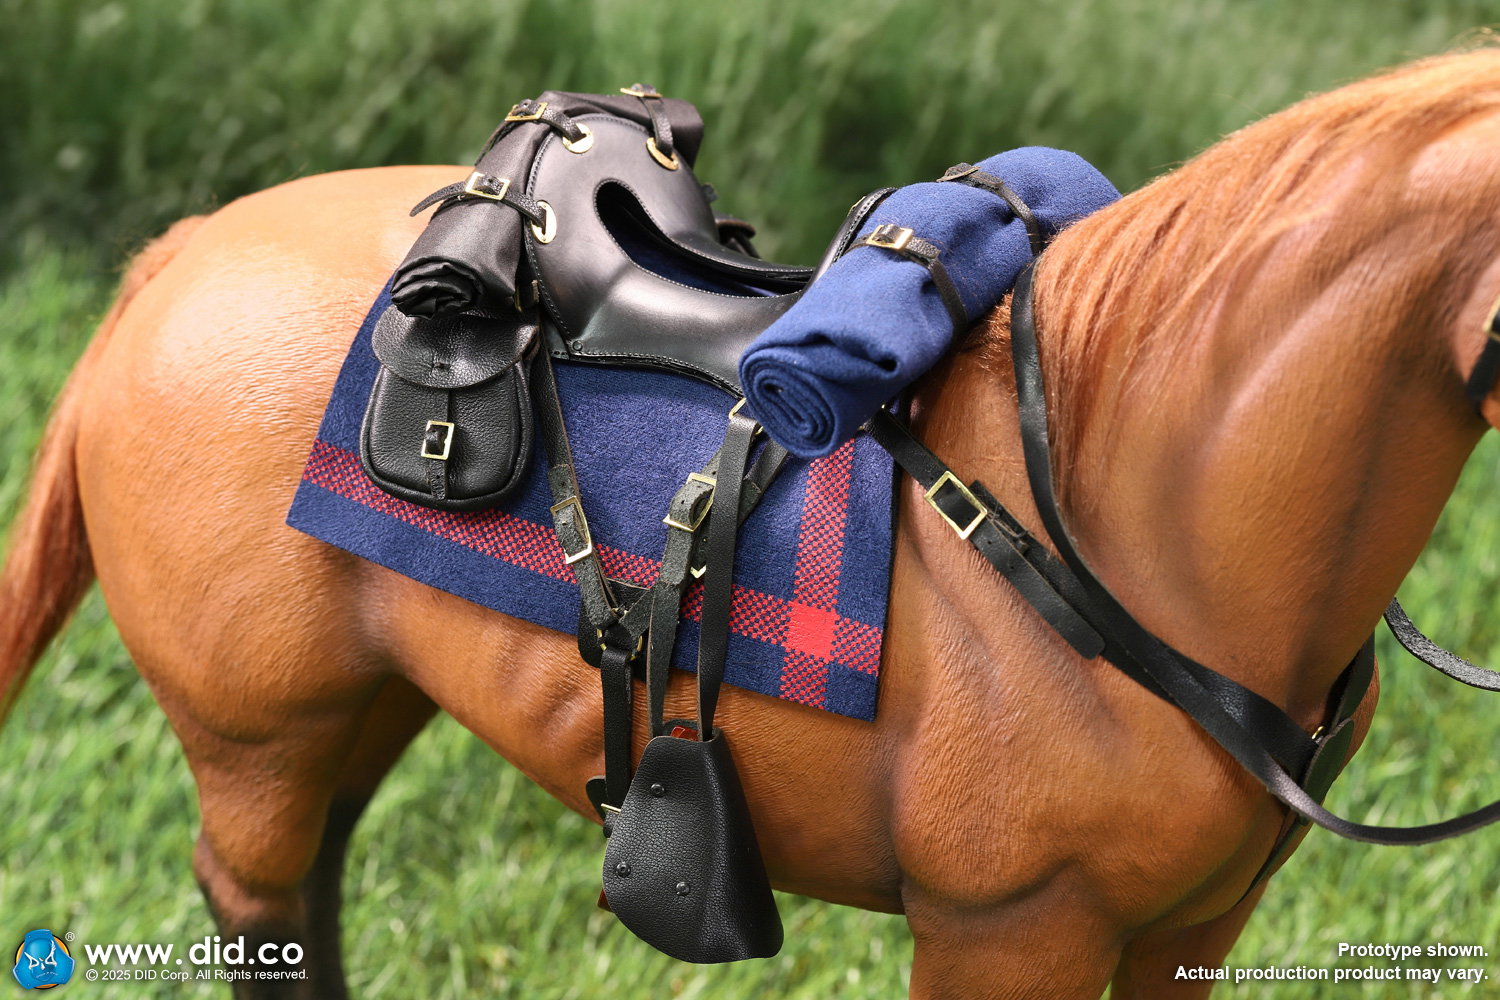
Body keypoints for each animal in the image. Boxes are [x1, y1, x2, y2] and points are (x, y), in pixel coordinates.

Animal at [4, 48, 1500, 999]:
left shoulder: (1193, 927)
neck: (1109, 501)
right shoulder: (1009, 931)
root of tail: (183, 250)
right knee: (258, 903)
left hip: (361, 709)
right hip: (258, 735)